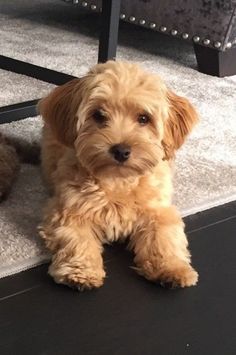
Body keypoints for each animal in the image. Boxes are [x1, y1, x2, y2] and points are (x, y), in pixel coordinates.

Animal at [38, 60, 199, 290]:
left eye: (143, 118)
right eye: (98, 115)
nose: (121, 150)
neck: (118, 181)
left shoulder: (159, 211)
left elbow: (164, 238)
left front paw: (172, 268)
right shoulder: (68, 210)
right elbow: (77, 240)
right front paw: (81, 271)